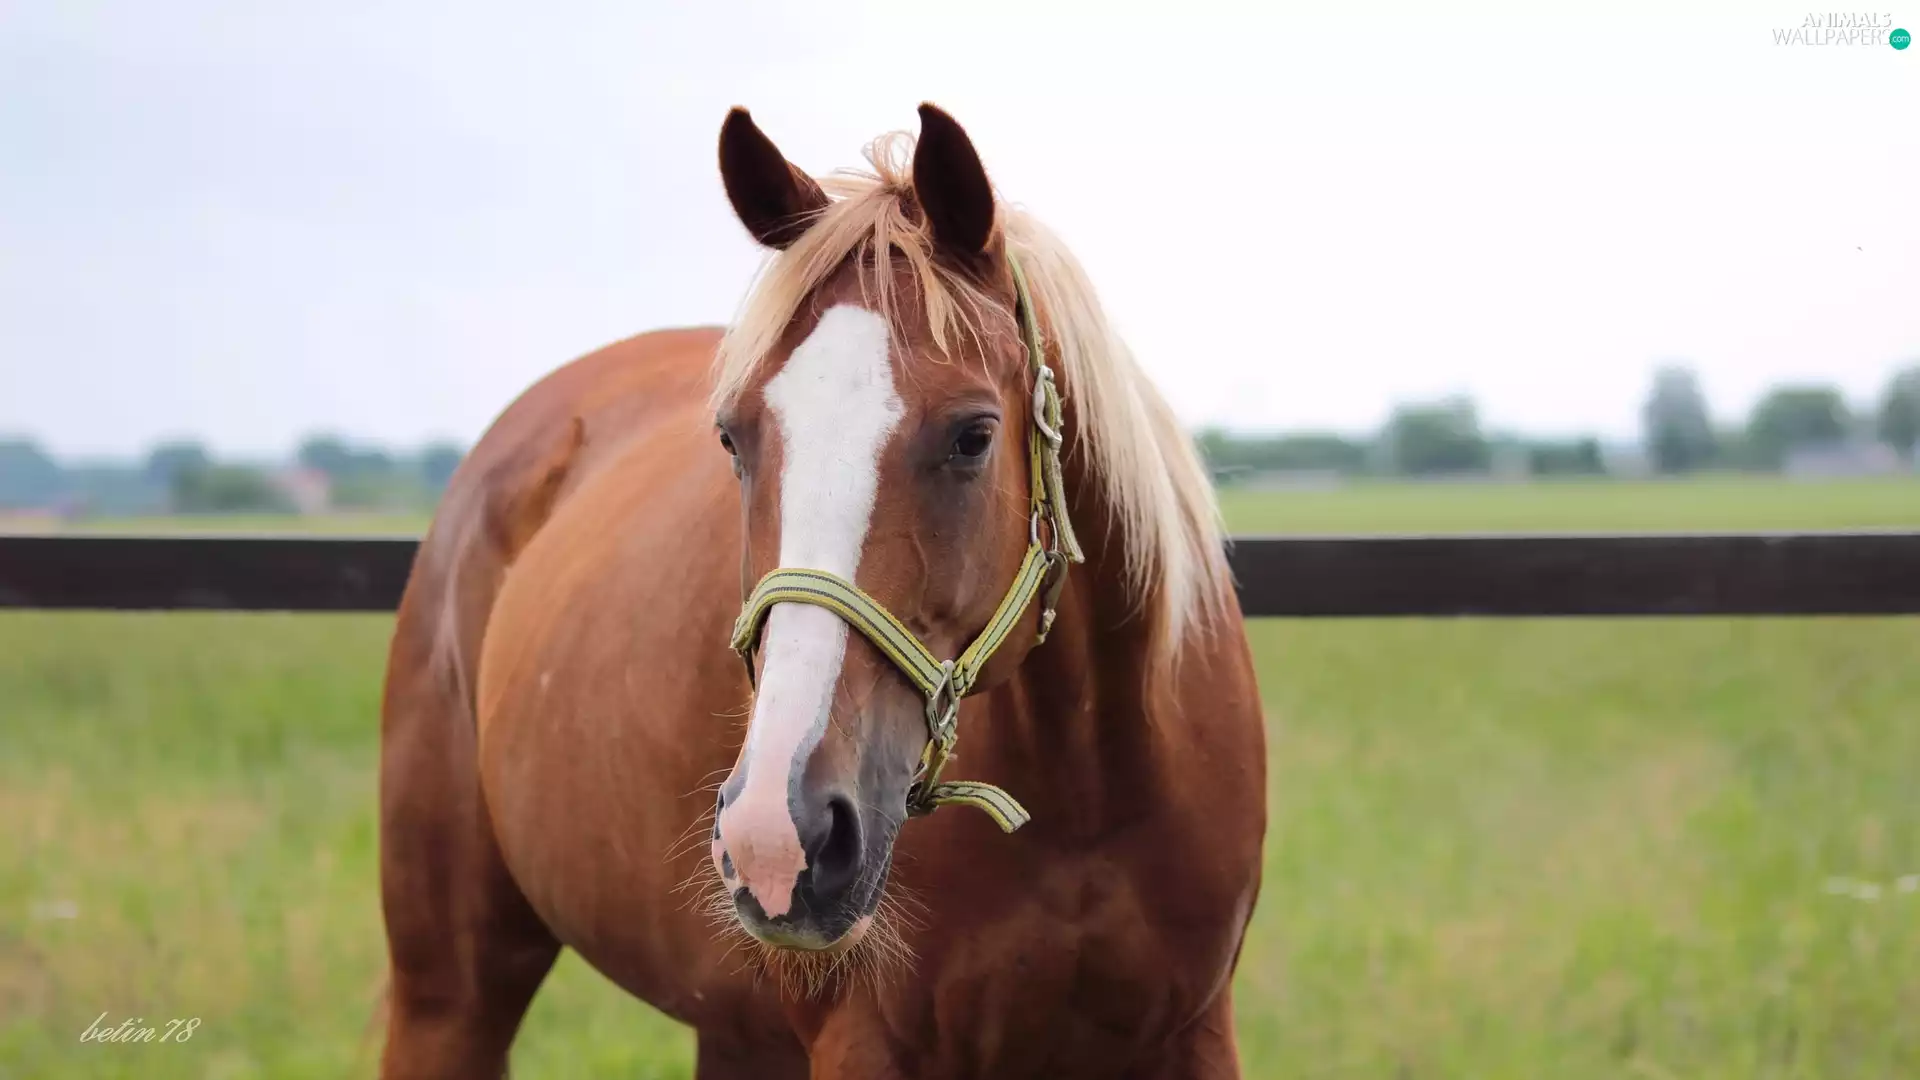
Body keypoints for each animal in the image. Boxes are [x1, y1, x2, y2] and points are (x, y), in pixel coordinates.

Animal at [375, 102, 1268, 1079]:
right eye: (733, 438)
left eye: (972, 435)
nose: (777, 833)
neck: (1087, 795)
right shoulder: (865, 1043)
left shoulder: (1193, 1032)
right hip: (449, 993)